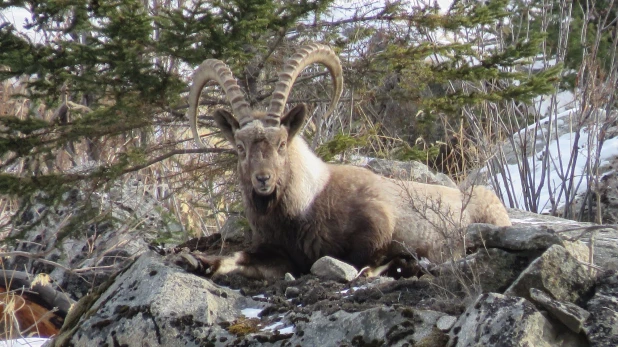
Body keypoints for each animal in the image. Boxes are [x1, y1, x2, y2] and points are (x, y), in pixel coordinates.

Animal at [183, 42, 510, 280]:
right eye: (240, 147)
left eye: (281, 144)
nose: (262, 179)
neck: (307, 203)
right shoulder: (279, 252)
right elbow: (241, 257)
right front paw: (202, 262)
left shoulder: (377, 226)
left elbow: (363, 263)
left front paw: (399, 263)